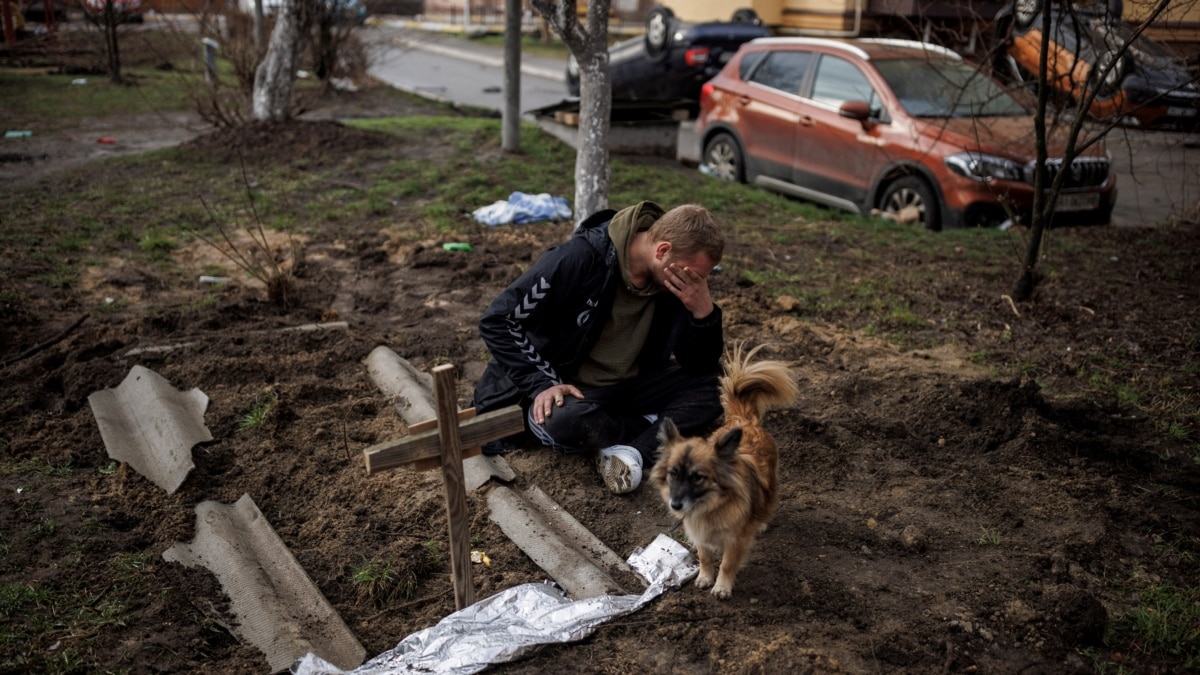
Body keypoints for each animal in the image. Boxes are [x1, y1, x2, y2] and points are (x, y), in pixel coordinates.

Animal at [648, 343, 796, 595]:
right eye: (673, 474)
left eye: (698, 477)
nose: (675, 505)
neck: (710, 506)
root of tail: (744, 420)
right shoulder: (698, 535)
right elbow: (704, 557)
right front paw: (705, 578)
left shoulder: (736, 540)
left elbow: (727, 563)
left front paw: (722, 587)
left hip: (770, 484)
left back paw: (761, 521)